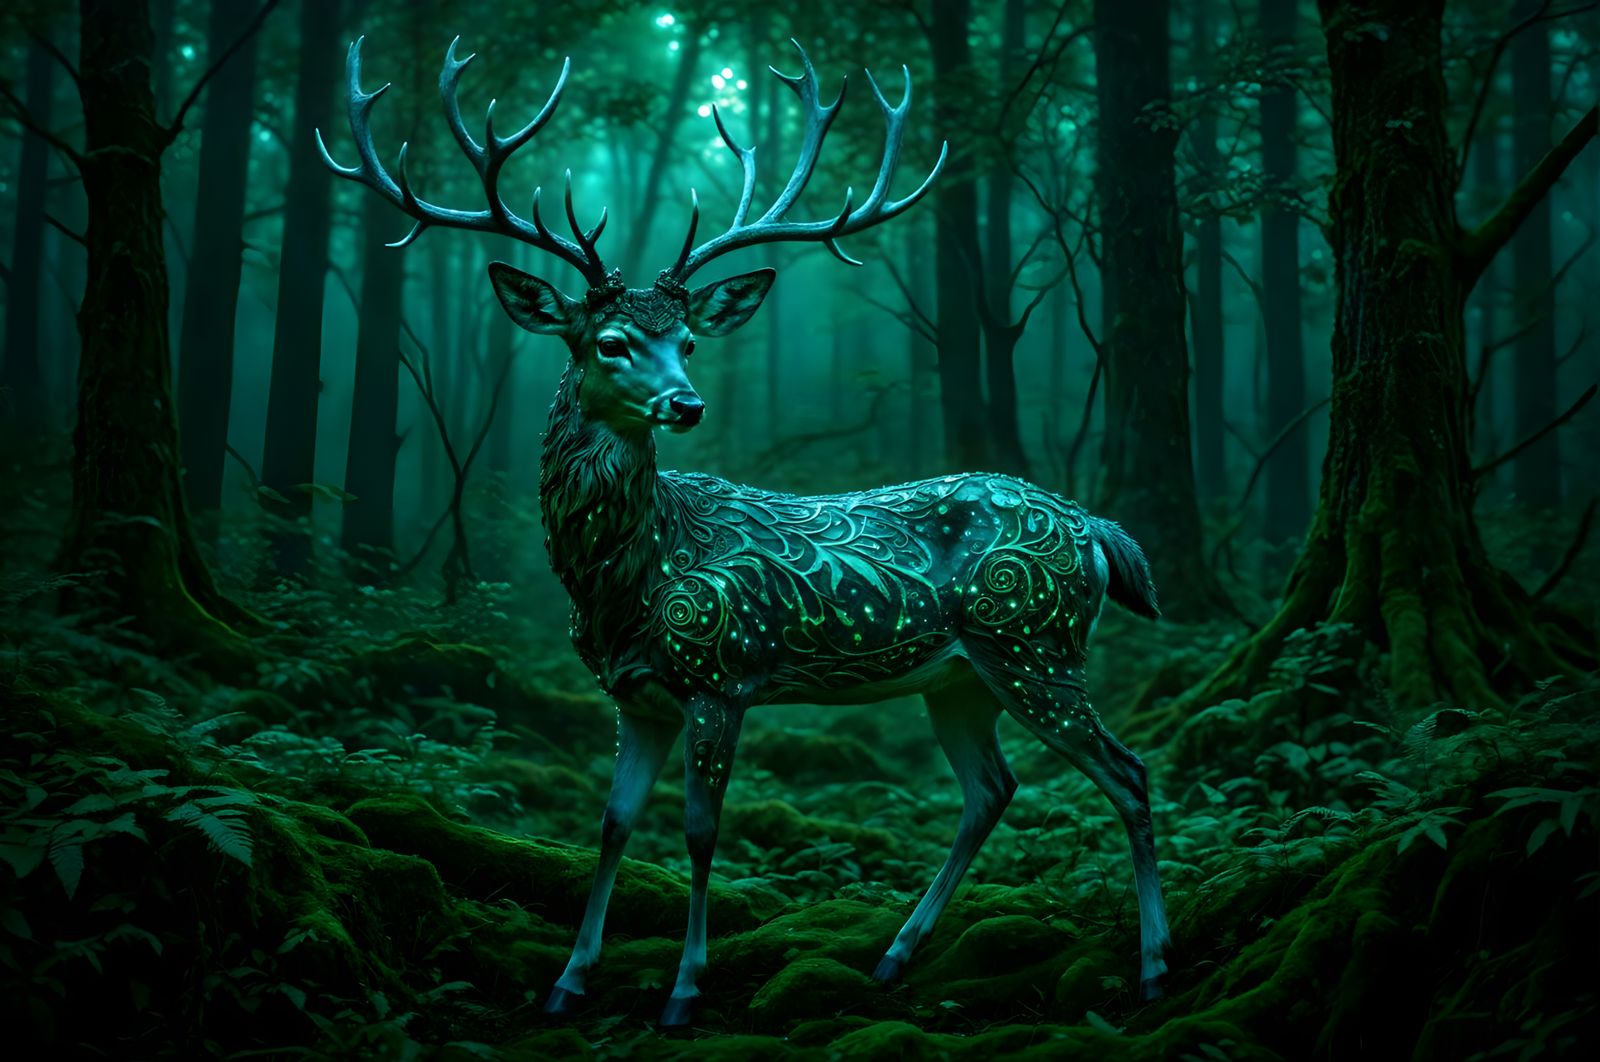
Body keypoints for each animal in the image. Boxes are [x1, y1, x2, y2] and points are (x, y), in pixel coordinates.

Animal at [319, 35, 1172, 1028]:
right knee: (991, 788)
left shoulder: (719, 674)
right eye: (609, 341)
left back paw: (1154, 967)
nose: (685, 404)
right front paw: (569, 981)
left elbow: (698, 830)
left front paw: (684, 990)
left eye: (689, 340)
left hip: (1035, 641)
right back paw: (895, 955)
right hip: (962, 676)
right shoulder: (634, 693)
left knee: (1129, 773)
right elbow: (612, 823)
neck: (625, 582)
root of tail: (1095, 527)